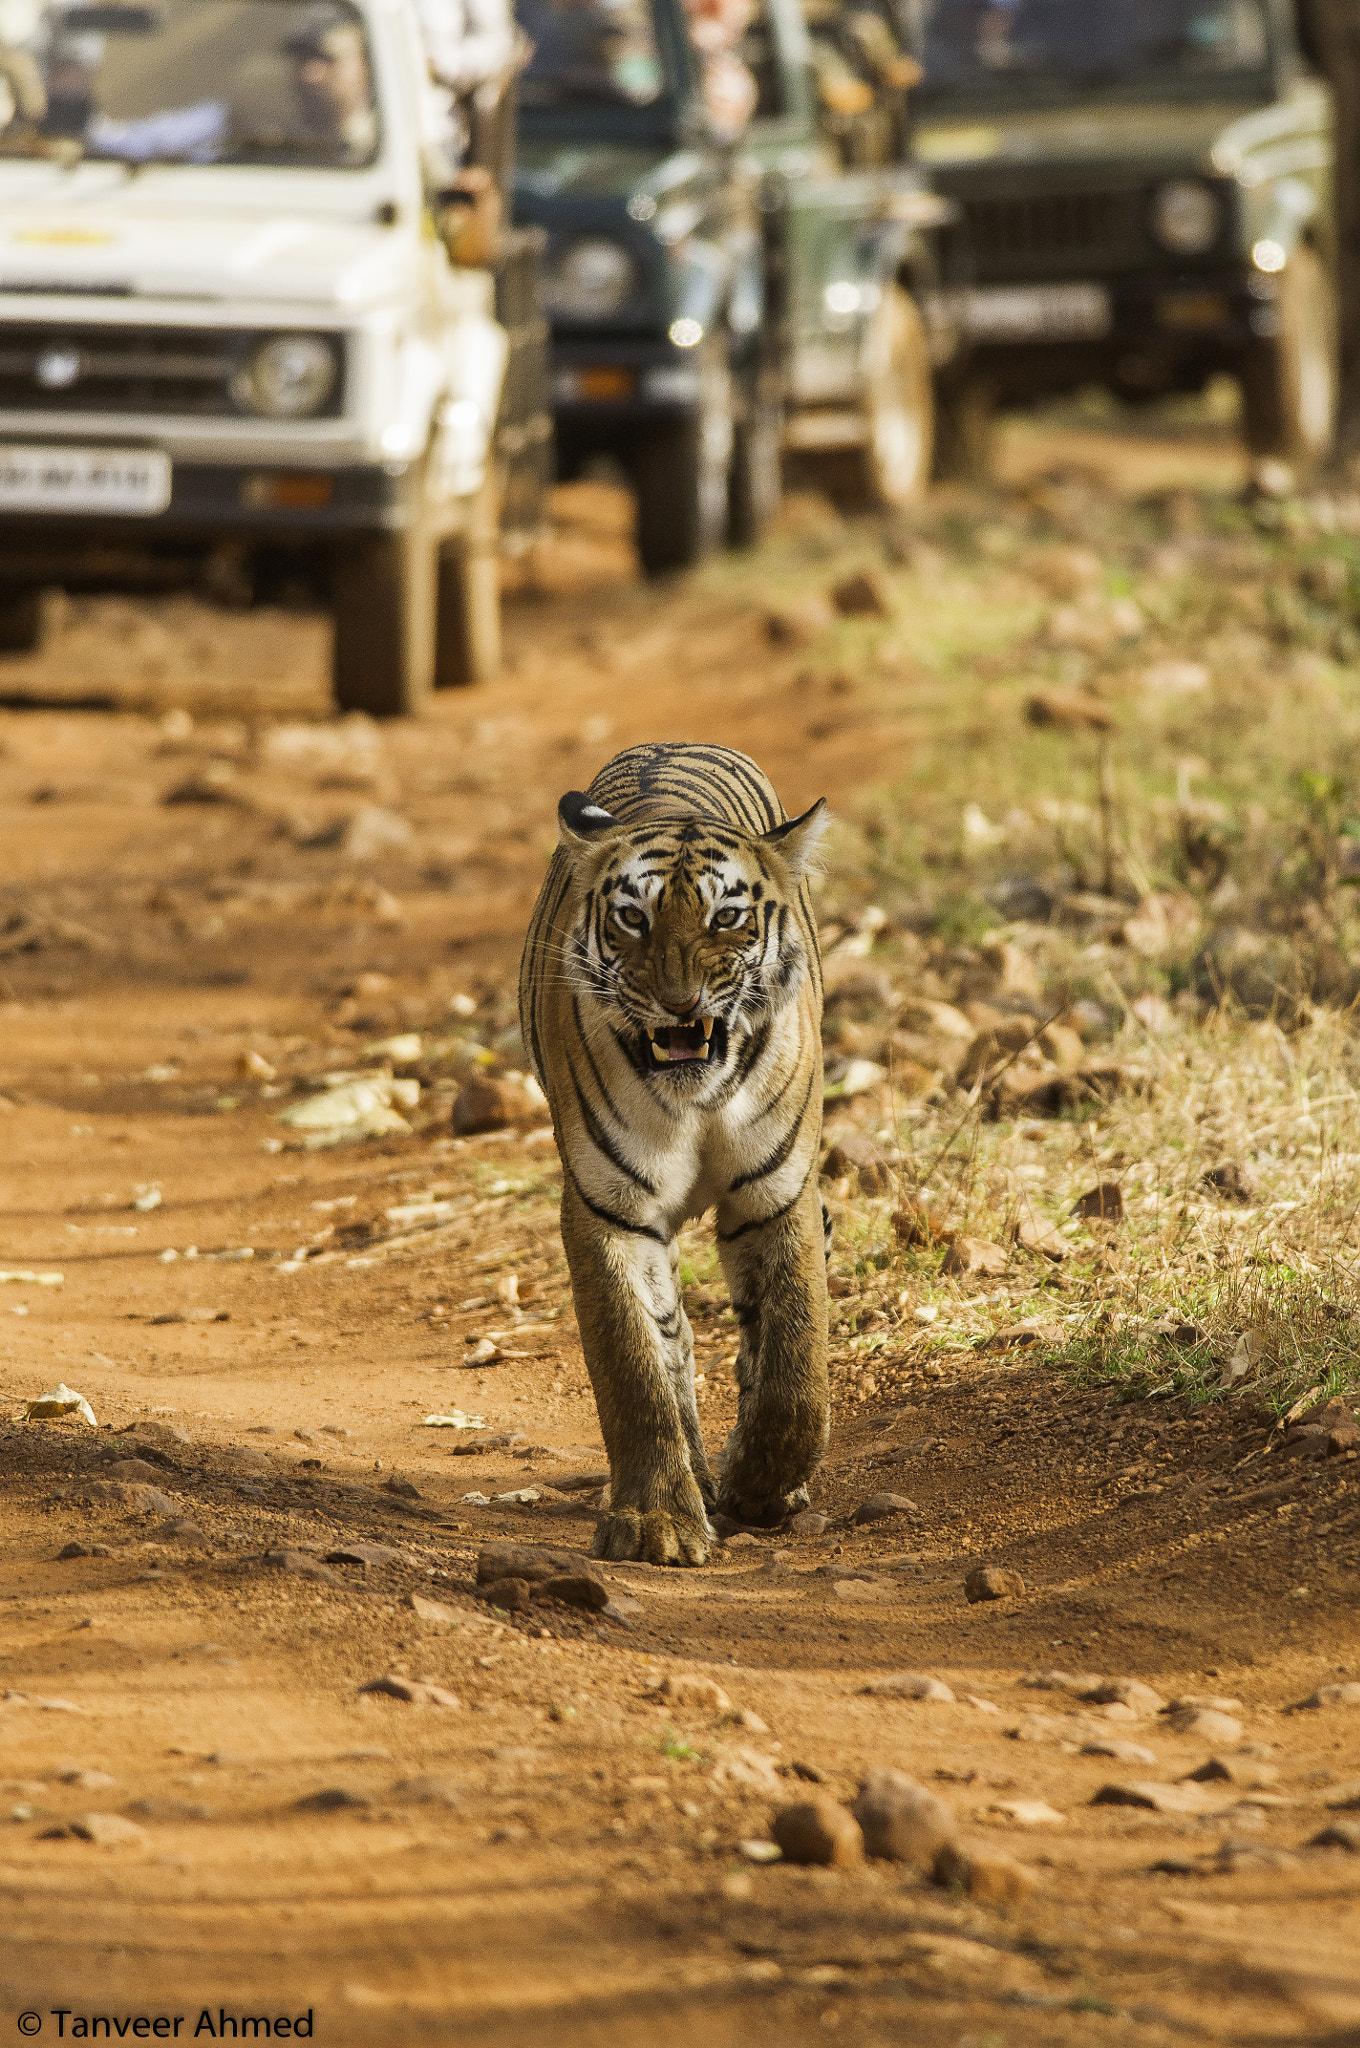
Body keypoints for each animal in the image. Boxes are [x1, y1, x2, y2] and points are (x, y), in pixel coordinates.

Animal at [516, 741, 823, 1564]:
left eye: (726, 917)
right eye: (633, 918)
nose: (680, 1005)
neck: (697, 1101)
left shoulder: (776, 1192)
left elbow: (796, 1363)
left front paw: (764, 1486)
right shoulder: (608, 1209)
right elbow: (633, 1366)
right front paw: (657, 1521)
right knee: (675, 1342)